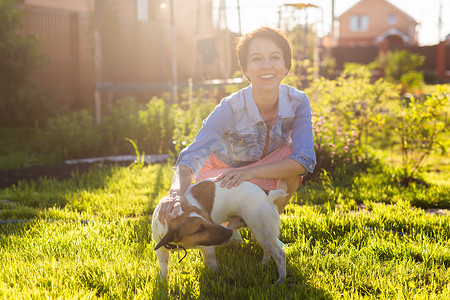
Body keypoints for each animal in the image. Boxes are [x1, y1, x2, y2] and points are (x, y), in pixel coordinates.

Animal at [151, 179, 286, 284]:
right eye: (199, 229)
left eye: (209, 217)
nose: (229, 232)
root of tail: (267, 196)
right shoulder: (161, 249)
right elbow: (164, 268)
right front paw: (162, 283)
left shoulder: (208, 248)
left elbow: (211, 264)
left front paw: (216, 276)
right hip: (260, 233)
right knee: (268, 251)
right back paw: (263, 264)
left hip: (263, 232)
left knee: (280, 255)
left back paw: (281, 279)